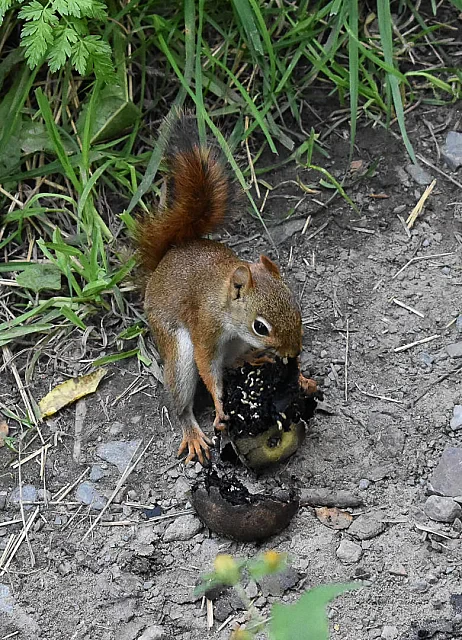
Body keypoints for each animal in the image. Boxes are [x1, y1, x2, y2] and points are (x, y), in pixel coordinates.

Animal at [134, 114, 316, 464]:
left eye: (297, 308)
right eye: (261, 327)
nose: (293, 353)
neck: (224, 304)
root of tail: (166, 259)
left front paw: (300, 378)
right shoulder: (205, 328)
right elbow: (208, 368)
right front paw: (220, 407)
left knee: (233, 362)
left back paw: (254, 359)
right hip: (175, 348)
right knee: (181, 399)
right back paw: (192, 432)